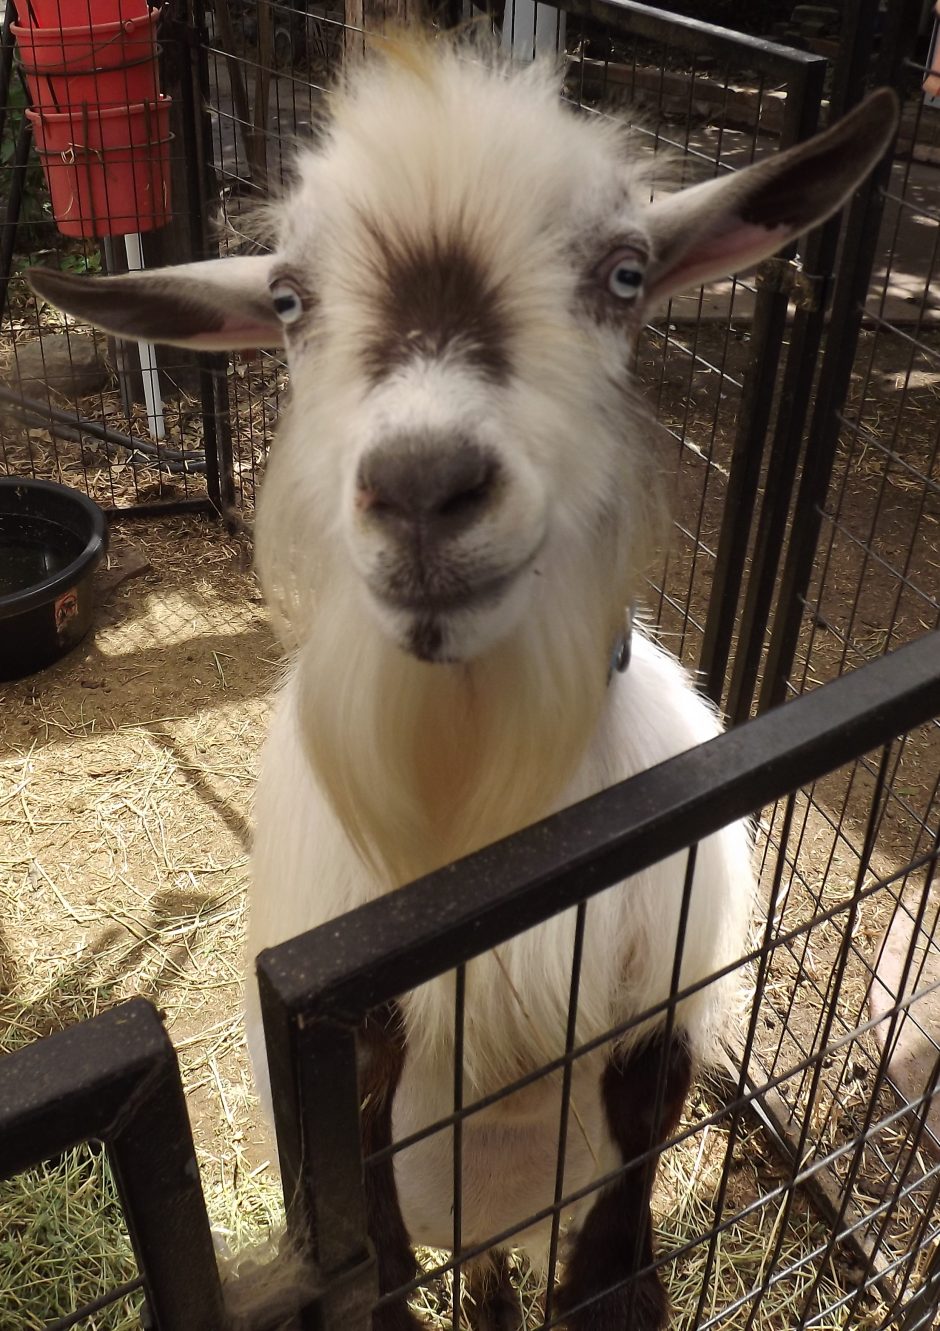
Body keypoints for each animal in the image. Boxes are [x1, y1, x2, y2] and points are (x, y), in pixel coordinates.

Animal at [30, 34, 898, 1330]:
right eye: (287, 301)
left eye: (627, 273)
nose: (424, 484)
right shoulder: (350, 1070)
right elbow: (377, 1263)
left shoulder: (657, 1031)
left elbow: (614, 1254)